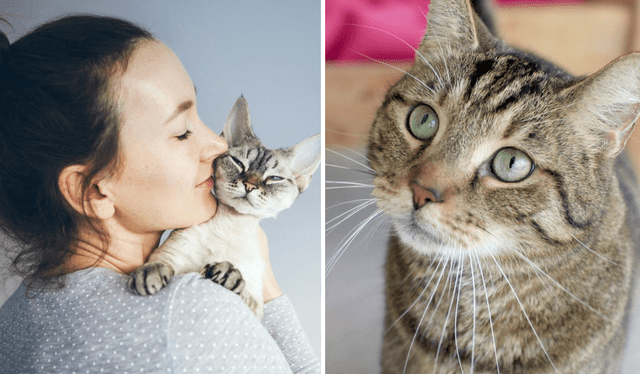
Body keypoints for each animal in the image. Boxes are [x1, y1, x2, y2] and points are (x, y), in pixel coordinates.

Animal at [129, 95, 320, 318]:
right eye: (238, 163)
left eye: (274, 178)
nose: (250, 185)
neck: (230, 225)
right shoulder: (170, 256)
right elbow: (159, 263)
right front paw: (148, 274)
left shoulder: (255, 308)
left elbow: (242, 288)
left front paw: (228, 273)